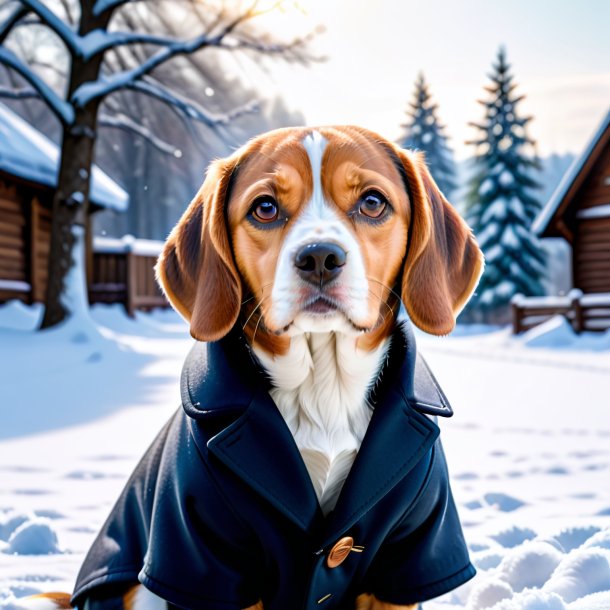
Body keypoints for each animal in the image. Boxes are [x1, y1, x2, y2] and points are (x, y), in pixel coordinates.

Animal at [22, 126, 480, 608]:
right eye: (265, 208)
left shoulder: (406, 557)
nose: (319, 257)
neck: (323, 386)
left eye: (373, 202)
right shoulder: (202, 554)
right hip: (144, 591)